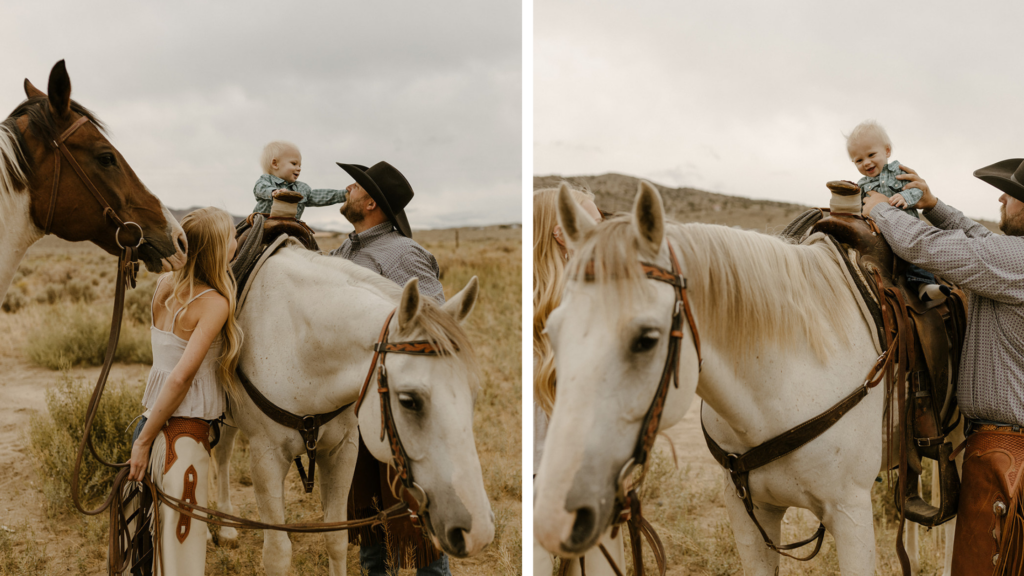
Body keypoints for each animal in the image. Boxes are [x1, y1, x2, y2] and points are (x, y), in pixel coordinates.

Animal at [211, 243, 491, 573]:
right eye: (409, 401)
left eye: (474, 395)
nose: (478, 530)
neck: (297, 342)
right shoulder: (265, 457)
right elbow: (277, 554)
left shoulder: (342, 450)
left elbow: (336, 538)